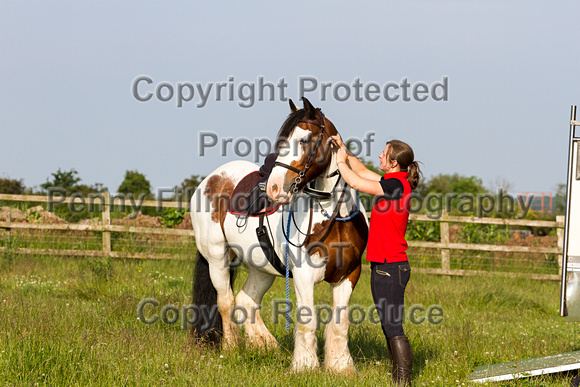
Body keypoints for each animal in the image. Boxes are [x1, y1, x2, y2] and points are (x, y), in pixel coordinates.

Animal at [193, 97, 370, 372]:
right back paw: (231, 349)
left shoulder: (349, 274)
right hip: (216, 259)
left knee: (246, 300)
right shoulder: (303, 275)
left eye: (304, 139)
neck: (335, 218)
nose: (275, 188)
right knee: (226, 302)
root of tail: (210, 180)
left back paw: (265, 346)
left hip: (262, 267)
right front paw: (305, 366)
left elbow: (340, 323)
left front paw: (341, 367)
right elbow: (308, 319)